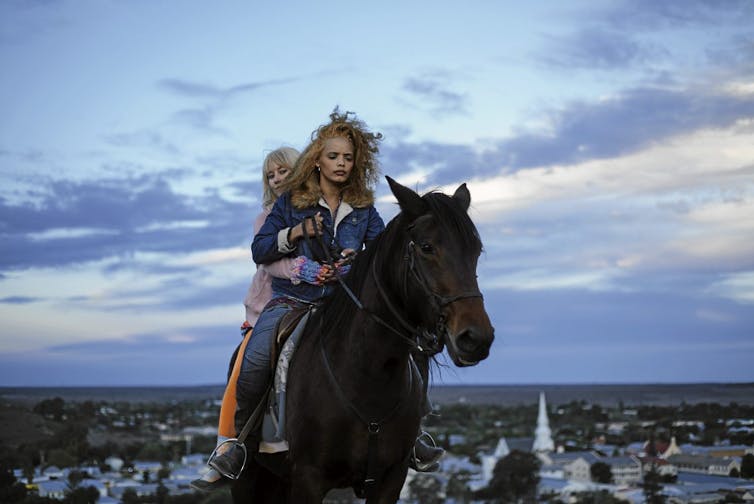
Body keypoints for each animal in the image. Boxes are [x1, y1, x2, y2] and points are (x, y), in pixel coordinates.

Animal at [232, 176, 496, 500]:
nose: (476, 338)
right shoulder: (308, 479)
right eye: (426, 247)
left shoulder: (392, 478)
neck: (368, 375)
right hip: (248, 479)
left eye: (476, 250)